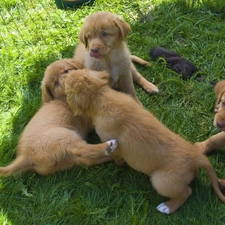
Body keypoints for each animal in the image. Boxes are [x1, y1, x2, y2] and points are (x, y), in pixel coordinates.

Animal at [61, 69, 225, 215]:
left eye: (66, 84)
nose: (64, 74)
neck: (101, 96)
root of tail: (196, 157)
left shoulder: (111, 142)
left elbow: (116, 157)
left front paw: (116, 163)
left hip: (161, 181)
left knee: (187, 191)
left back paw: (167, 207)